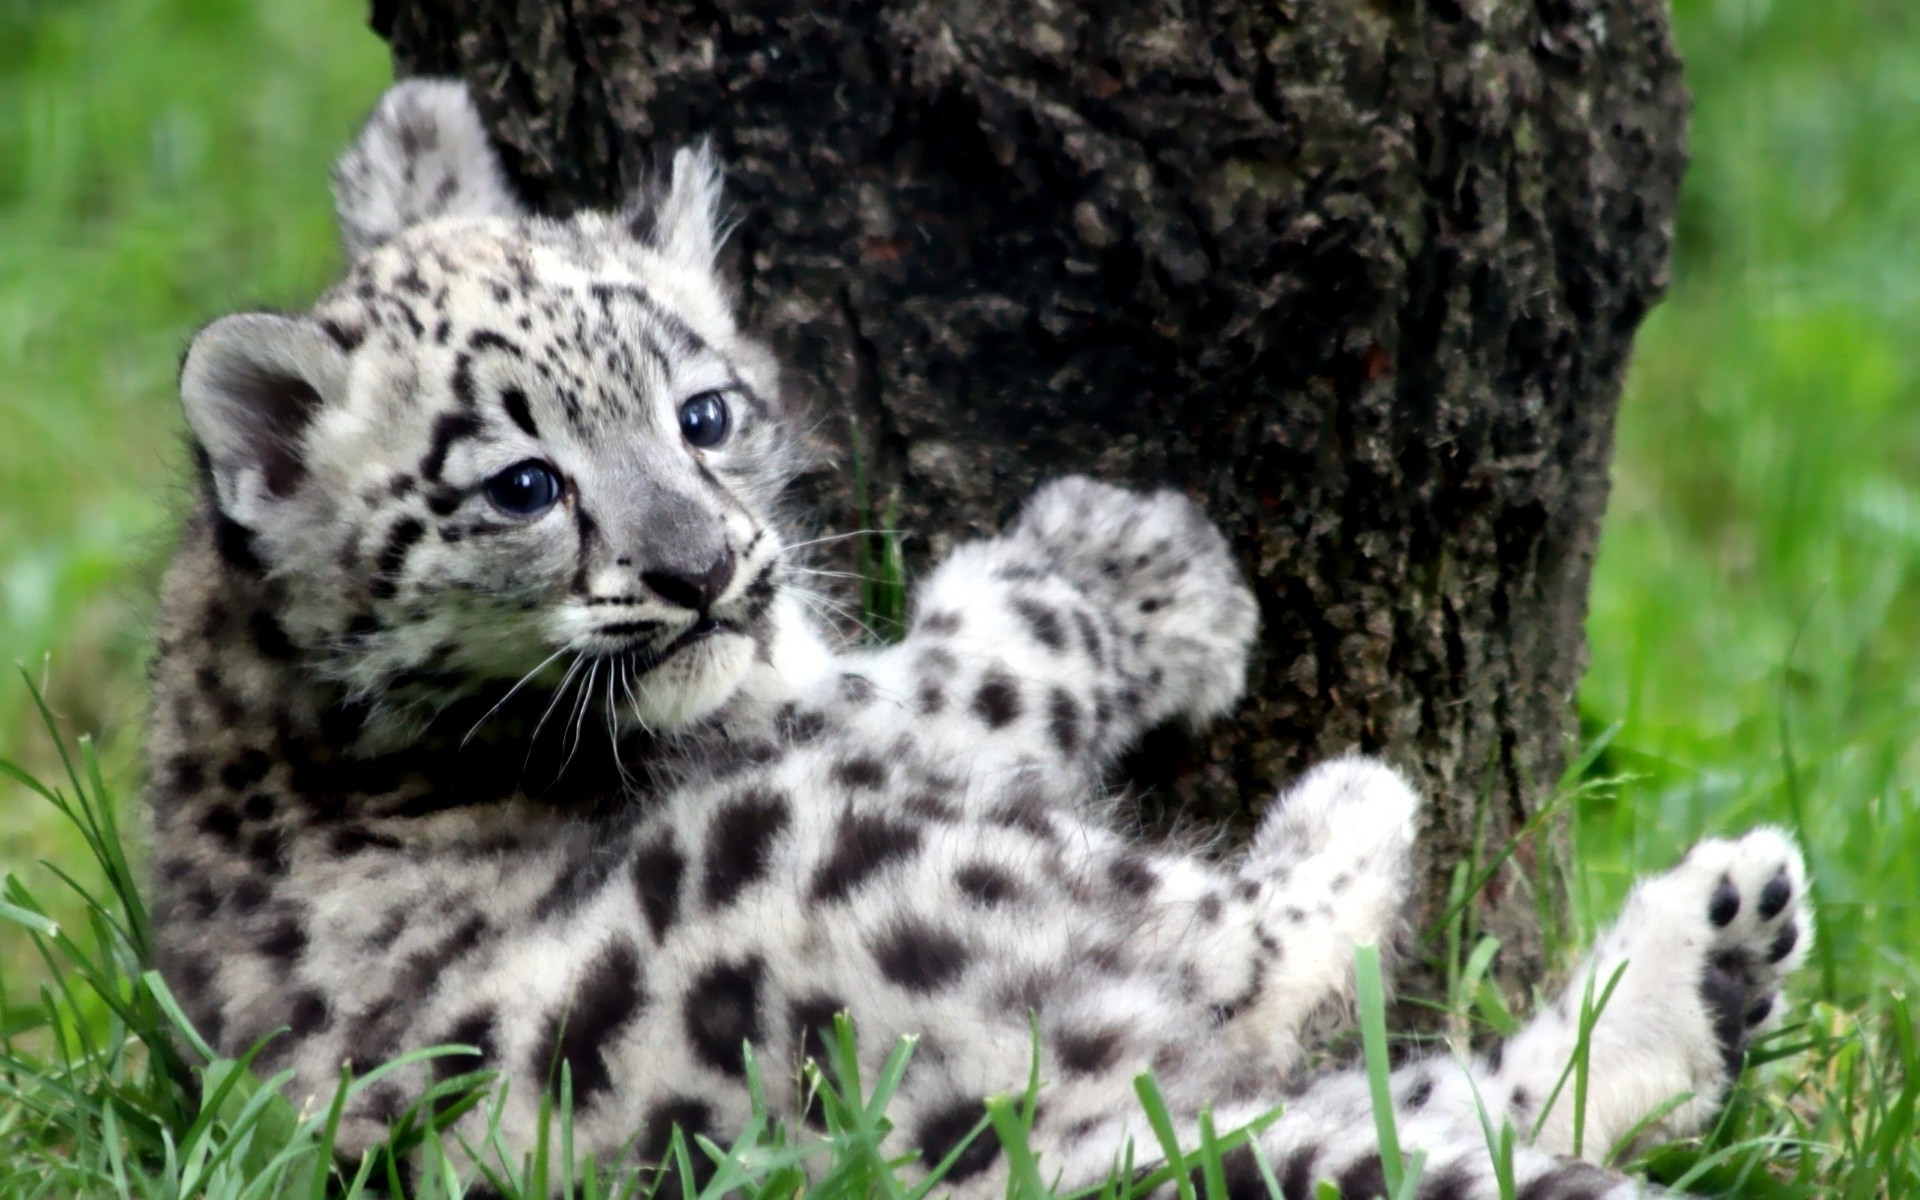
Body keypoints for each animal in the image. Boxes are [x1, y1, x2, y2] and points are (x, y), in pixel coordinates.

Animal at [149, 79, 1812, 1190]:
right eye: (522, 484)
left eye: (705, 413)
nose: (703, 571)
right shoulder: (830, 715)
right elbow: (1000, 651)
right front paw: (1140, 569)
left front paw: (415, 143)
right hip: (852, 843)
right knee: (1255, 972)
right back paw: (1382, 814)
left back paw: (1715, 957)